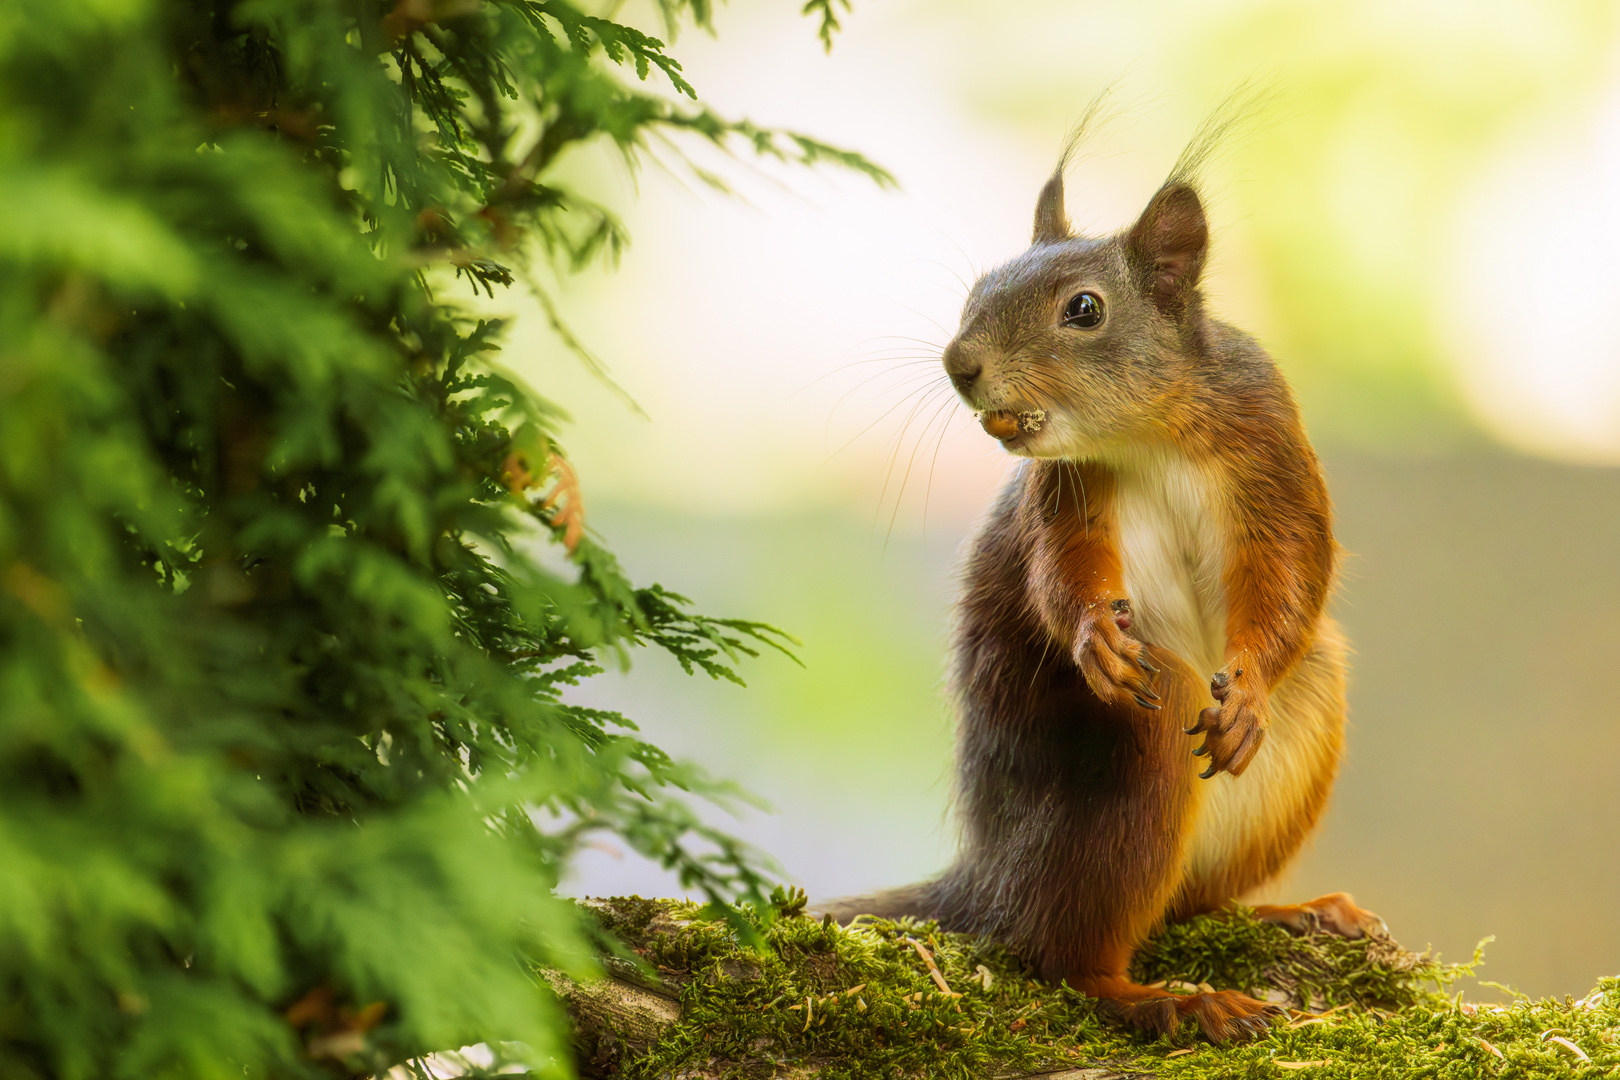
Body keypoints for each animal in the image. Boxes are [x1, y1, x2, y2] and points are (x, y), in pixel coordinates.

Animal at [822, 120, 1380, 1049]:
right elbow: (1060, 576)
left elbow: (1294, 570)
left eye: (1083, 309)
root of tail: (984, 879)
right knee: (1064, 957)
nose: (959, 364)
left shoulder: (1268, 446)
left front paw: (1249, 692)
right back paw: (1168, 998)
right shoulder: (1067, 498)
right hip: (1142, 748)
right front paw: (1092, 638)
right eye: (978, 287)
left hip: (1307, 710)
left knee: (1184, 909)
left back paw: (1295, 914)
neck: (1147, 434)